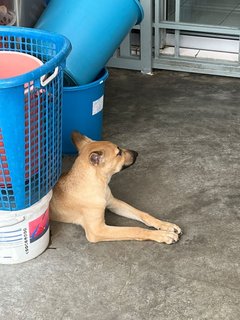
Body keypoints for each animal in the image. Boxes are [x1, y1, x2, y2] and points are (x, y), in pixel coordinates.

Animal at [50, 131, 182, 244]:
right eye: (118, 153)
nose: (136, 153)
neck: (97, 183)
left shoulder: (113, 203)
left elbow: (143, 214)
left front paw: (166, 225)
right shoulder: (97, 230)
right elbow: (134, 229)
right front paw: (162, 235)